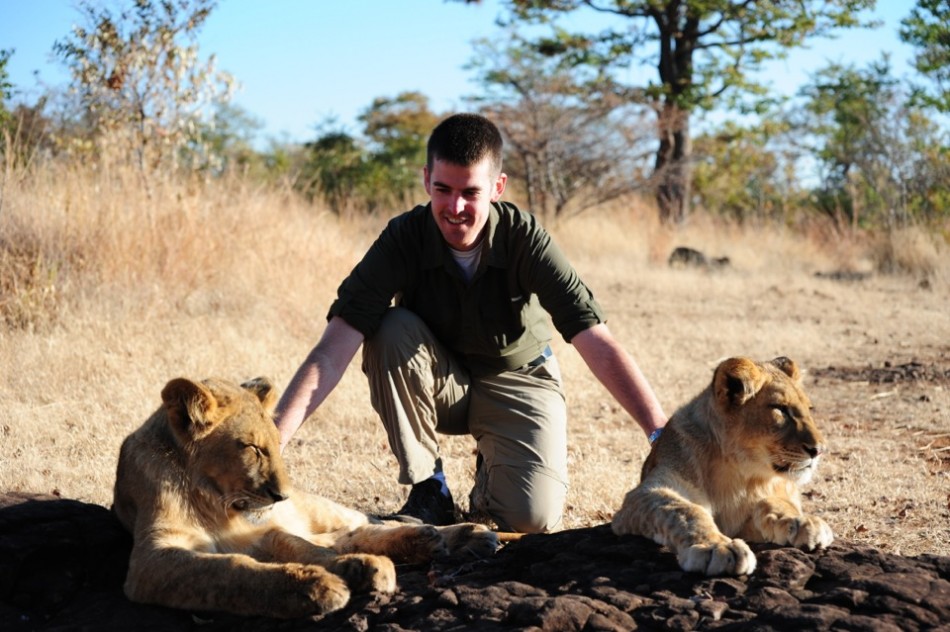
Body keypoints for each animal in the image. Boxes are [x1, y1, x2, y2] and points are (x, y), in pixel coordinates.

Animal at [112, 376, 498, 619]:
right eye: (252, 448)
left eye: (275, 444)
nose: (281, 496)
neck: (214, 503)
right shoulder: (155, 557)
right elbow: (230, 569)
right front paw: (321, 584)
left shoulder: (262, 533)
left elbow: (305, 550)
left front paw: (344, 573)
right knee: (346, 537)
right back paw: (433, 542)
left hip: (321, 508)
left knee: (365, 524)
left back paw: (464, 535)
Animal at [611, 356, 833, 576]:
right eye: (781, 409)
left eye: (810, 409)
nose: (819, 450)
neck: (740, 471)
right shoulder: (640, 496)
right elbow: (681, 509)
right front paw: (717, 547)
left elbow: (776, 502)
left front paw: (802, 522)